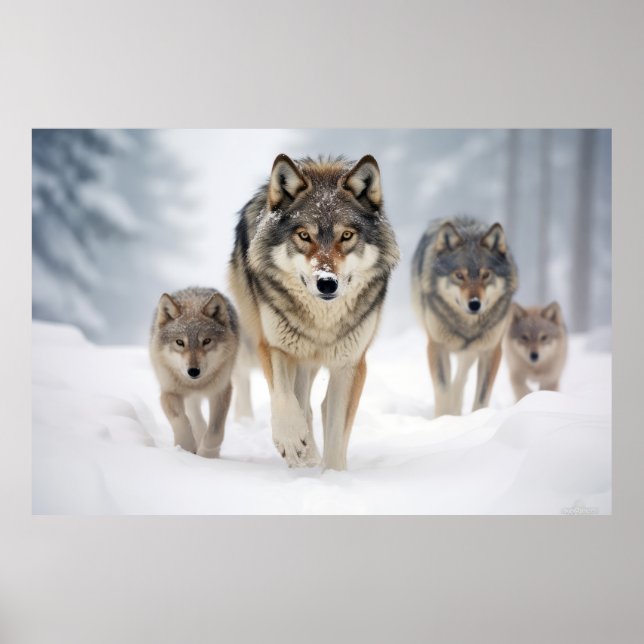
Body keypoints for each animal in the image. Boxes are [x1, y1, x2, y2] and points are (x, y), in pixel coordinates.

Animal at [149, 287, 239, 458]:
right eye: (180, 342)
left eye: (206, 341)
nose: (193, 371)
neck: (196, 384)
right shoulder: (168, 392)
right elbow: (181, 420)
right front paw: (185, 447)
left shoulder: (221, 391)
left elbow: (215, 431)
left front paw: (207, 455)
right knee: (195, 417)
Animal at [228, 154, 400, 470]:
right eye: (304, 235)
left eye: (346, 235)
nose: (327, 282)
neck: (322, 320)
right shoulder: (274, 345)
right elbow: (286, 400)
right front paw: (291, 442)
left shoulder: (351, 363)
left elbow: (335, 429)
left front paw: (332, 474)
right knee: (299, 402)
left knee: (314, 405)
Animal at [412, 217, 518, 416]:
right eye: (459, 275)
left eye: (486, 275)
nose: (475, 304)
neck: (467, 324)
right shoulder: (436, 346)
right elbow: (442, 389)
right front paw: (443, 418)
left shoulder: (490, 350)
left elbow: (482, 396)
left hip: (473, 348)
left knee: (462, 375)